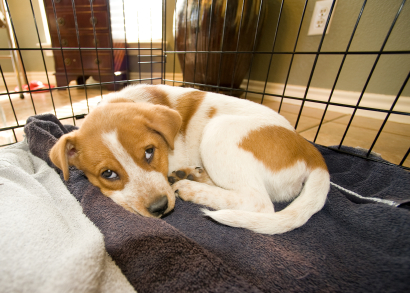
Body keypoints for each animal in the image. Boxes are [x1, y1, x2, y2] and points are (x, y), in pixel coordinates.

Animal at [48, 83, 330, 234]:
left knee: (257, 201)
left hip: (219, 131)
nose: (160, 208)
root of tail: (312, 153)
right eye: (108, 174)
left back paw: (191, 187)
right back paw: (194, 175)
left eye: (149, 152)